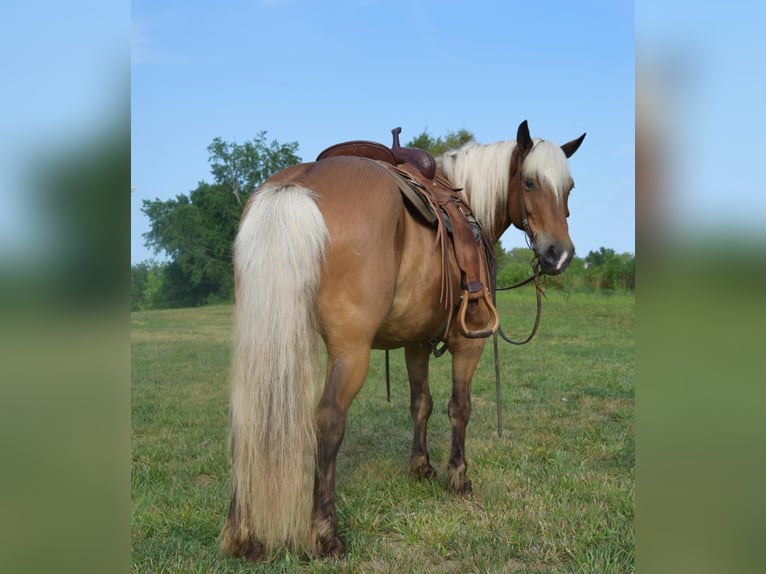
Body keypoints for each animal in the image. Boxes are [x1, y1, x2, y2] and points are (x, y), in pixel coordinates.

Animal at [222, 121, 588, 564]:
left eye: (569, 187)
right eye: (531, 182)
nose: (559, 255)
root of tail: (298, 185)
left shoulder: (415, 343)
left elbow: (421, 403)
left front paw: (421, 467)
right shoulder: (469, 341)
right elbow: (459, 407)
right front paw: (457, 476)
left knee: (248, 417)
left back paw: (242, 535)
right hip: (350, 352)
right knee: (329, 420)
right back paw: (325, 533)